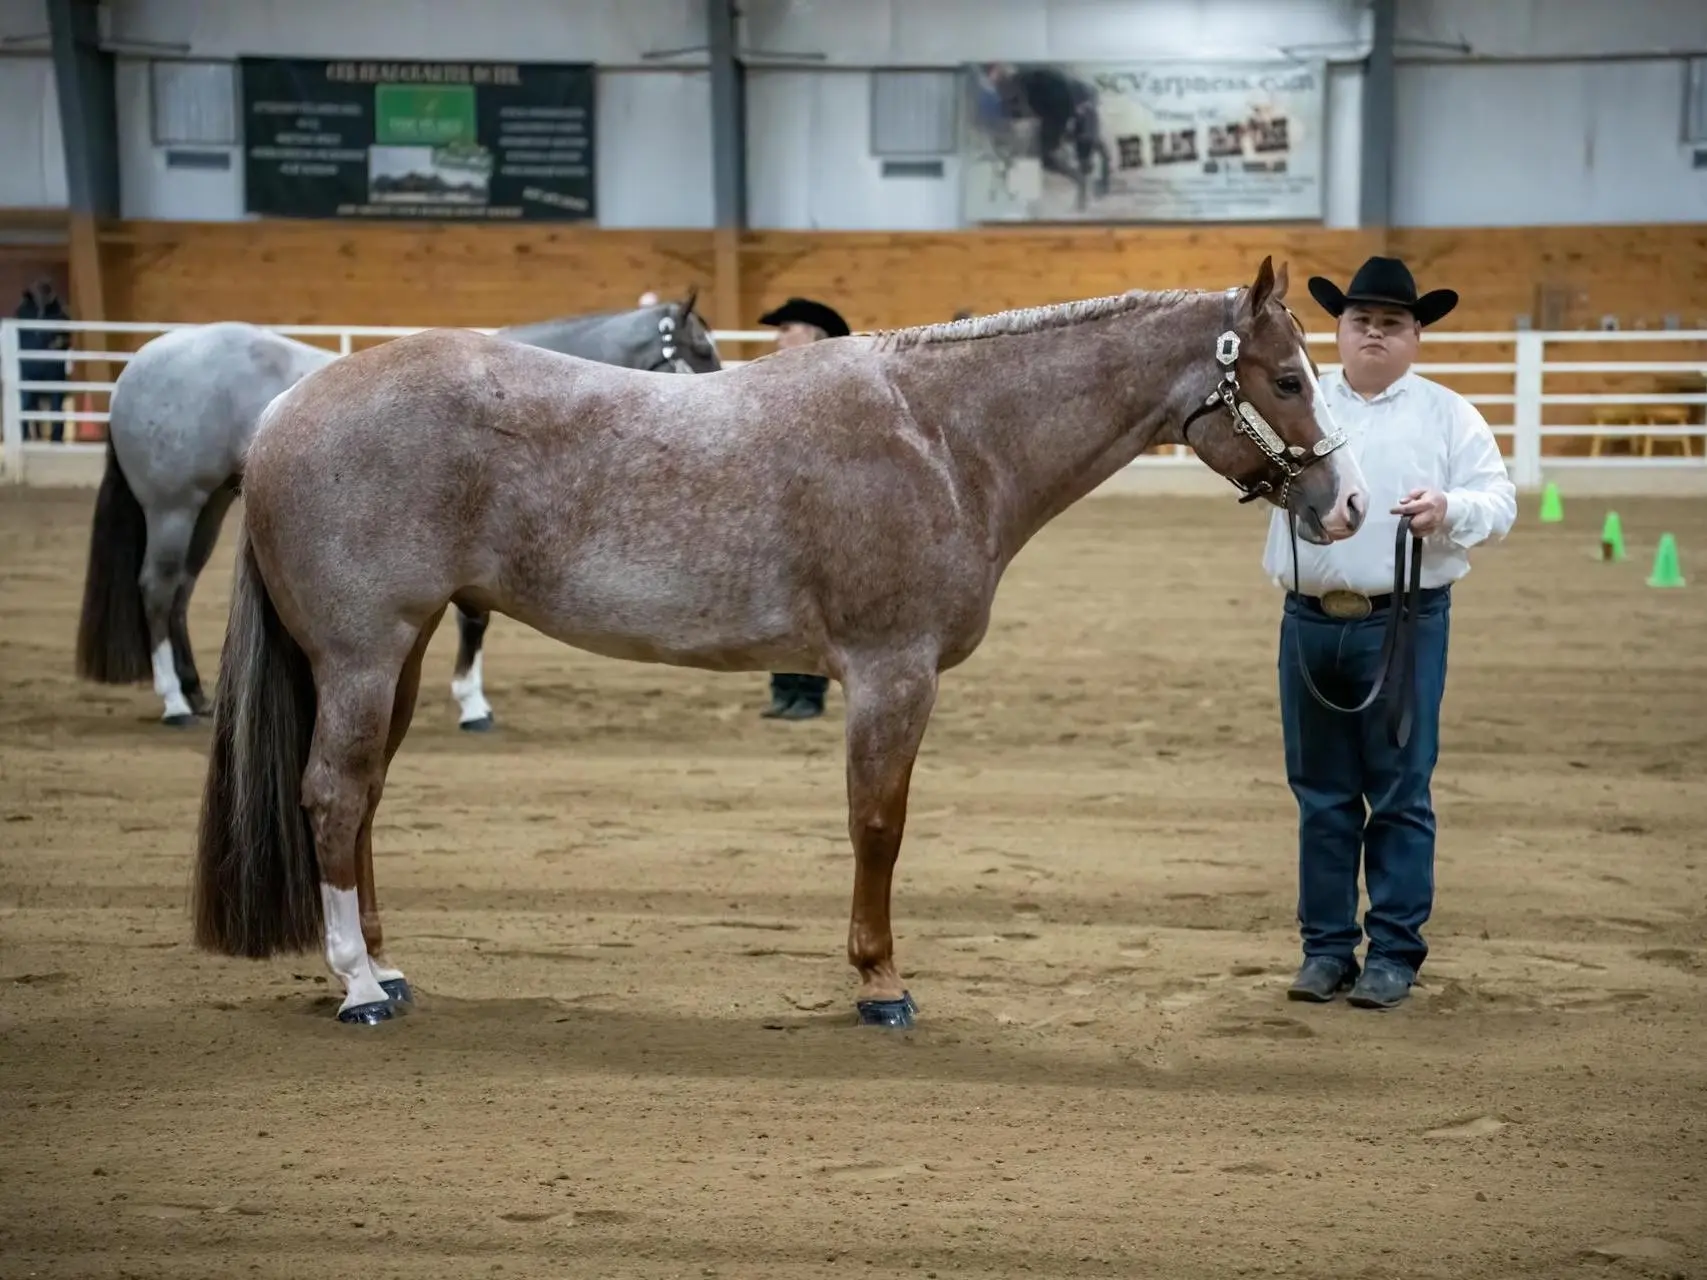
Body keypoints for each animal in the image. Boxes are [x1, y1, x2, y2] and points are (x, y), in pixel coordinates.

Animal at [73, 295, 720, 727]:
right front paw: (472, 705)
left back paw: (195, 693)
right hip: (173, 508)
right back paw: (174, 702)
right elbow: (475, 621)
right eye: (700, 349)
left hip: (206, 507)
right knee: (157, 589)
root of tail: (140, 365)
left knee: (179, 591)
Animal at [190, 261, 1358, 1030]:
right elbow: (878, 825)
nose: (1343, 505)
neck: (942, 437)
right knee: (333, 795)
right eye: (1287, 379)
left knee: (366, 797)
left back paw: (385, 968)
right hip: (361, 654)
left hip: (399, 651)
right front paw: (880, 983)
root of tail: (284, 409)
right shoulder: (892, 675)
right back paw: (355, 985)